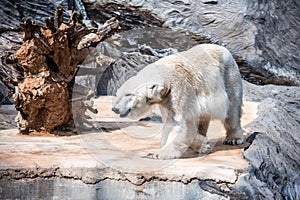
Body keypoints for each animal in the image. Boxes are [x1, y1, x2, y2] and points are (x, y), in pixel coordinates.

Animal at [112, 43, 244, 159]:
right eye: (118, 93)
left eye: (128, 94)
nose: (115, 108)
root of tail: (223, 49)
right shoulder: (166, 101)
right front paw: (202, 144)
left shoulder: (178, 91)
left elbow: (175, 123)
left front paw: (158, 153)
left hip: (228, 75)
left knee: (232, 108)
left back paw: (233, 138)